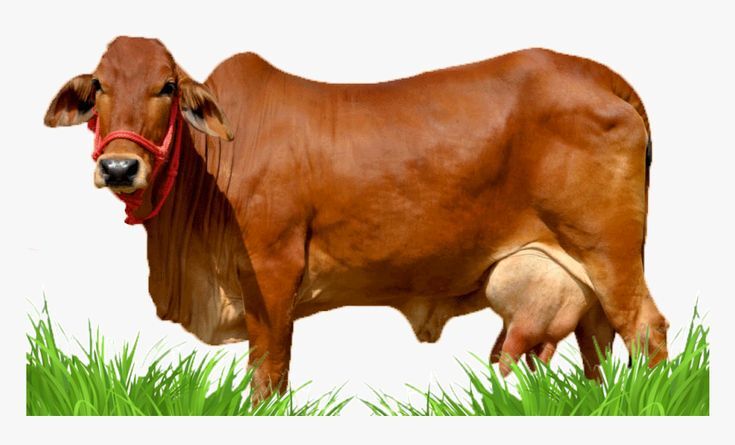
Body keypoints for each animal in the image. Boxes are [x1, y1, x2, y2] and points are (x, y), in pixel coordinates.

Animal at [45, 36, 668, 400]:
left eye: (168, 86)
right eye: (99, 86)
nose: (119, 167)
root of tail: (595, 74)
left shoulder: (271, 275)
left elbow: (268, 376)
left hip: (610, 255)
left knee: (647, 330)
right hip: (583, 276)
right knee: (596, 344)